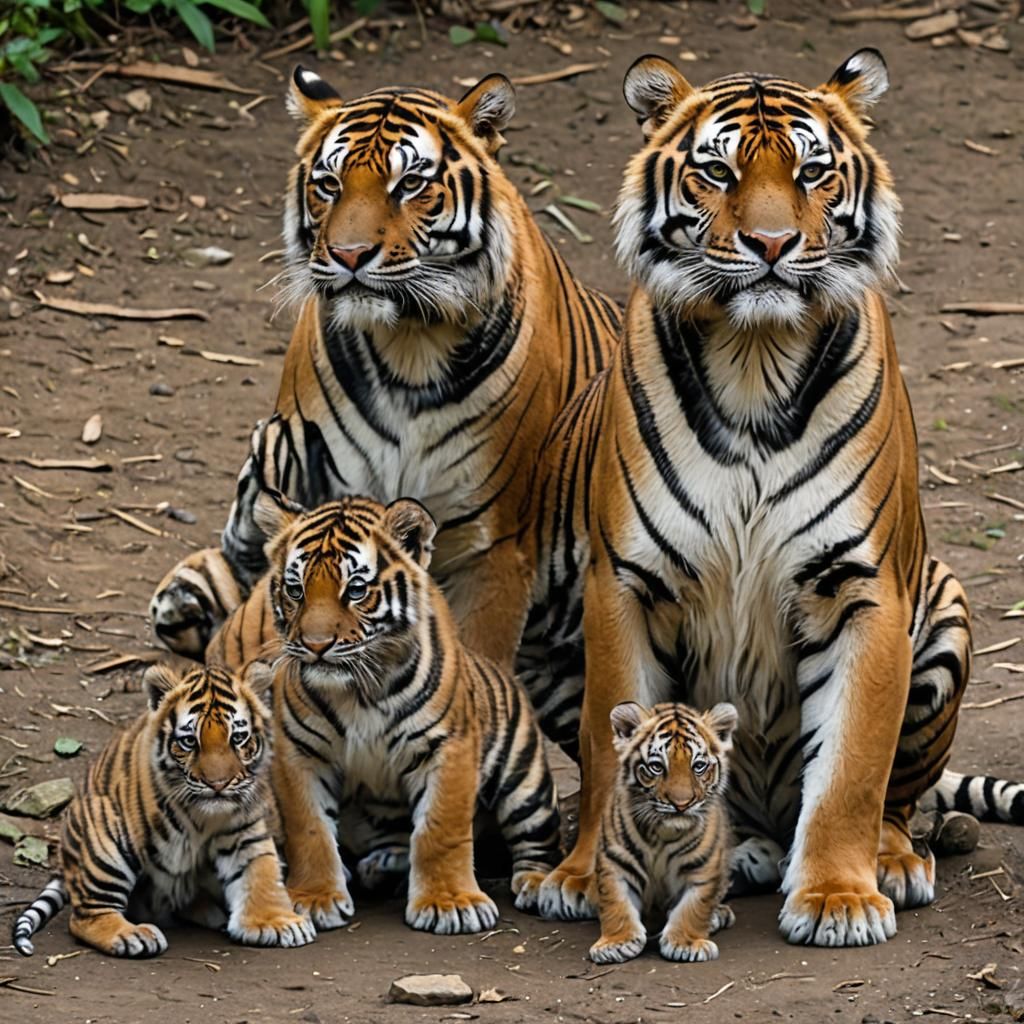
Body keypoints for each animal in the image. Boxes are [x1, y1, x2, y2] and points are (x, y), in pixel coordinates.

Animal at [12, 663, 313, 957]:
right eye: (190, 741)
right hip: (106, 838)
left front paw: (279, 922)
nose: (217, 784)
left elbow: (260, 872)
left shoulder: (244, 829)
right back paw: (132, 935)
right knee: (86, 915)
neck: (209, 817)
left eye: (238, 738)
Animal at [227, 489, 562, 935]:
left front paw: (449, 903)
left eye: (355, 589)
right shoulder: (298, 752)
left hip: (523, 776)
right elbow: (309, 829)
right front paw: (315, 899)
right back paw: (379, 866)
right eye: (295, 590)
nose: (315, 645)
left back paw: (537, 884)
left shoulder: (449, 748)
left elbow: (441, 828)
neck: (359, 689)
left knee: (537, 838)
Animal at [589, 701, 737, 965]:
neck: (663, 832)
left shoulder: (704, 869)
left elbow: (693, 907)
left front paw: (686, 945)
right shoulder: (614, 863)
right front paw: (616, 943)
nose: (682, 804)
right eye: (656, 767)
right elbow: (615, 902)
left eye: (698, 766)